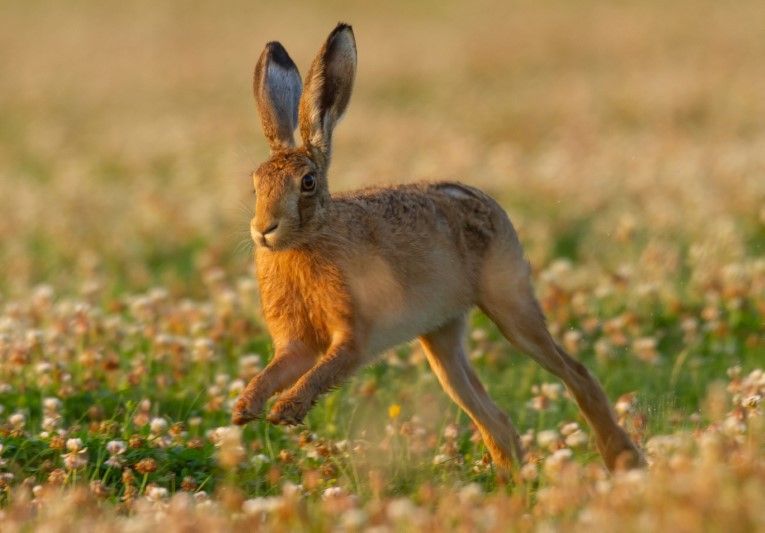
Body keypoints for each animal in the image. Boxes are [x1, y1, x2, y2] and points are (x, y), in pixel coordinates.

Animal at [231, 23, 644, 472]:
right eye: (255, 183)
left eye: (306, 183)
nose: (264, 229)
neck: (310, 238)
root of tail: (484, 199)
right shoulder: (296, 344)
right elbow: (275, 369)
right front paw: (244, 408)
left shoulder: (354, 334)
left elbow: (325, 370)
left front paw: (285, 409)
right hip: (440, 335)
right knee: (494, 417)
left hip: (510, 304)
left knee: (575, 372)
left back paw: (623, 459)